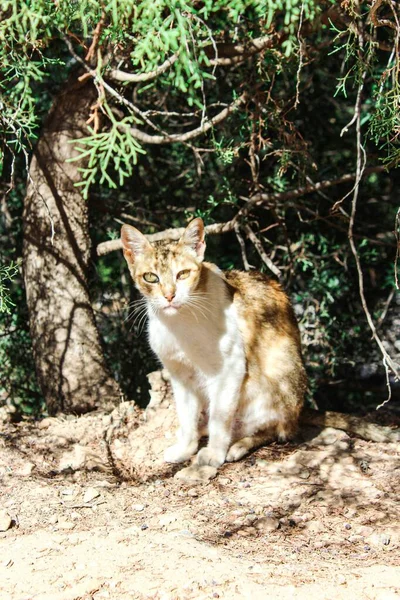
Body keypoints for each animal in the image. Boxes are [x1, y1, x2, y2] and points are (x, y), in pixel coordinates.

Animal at [120, 218, 308, 466]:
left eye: (182, 274)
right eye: (151, 277)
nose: (169, 296)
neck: (178, 324)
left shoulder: (229, 368)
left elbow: (220, 419)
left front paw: (214, 454)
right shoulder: (180, 375)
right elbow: (186, 416)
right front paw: (185, 448)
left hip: (277, 380)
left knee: (276, 430)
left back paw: (238, 446)